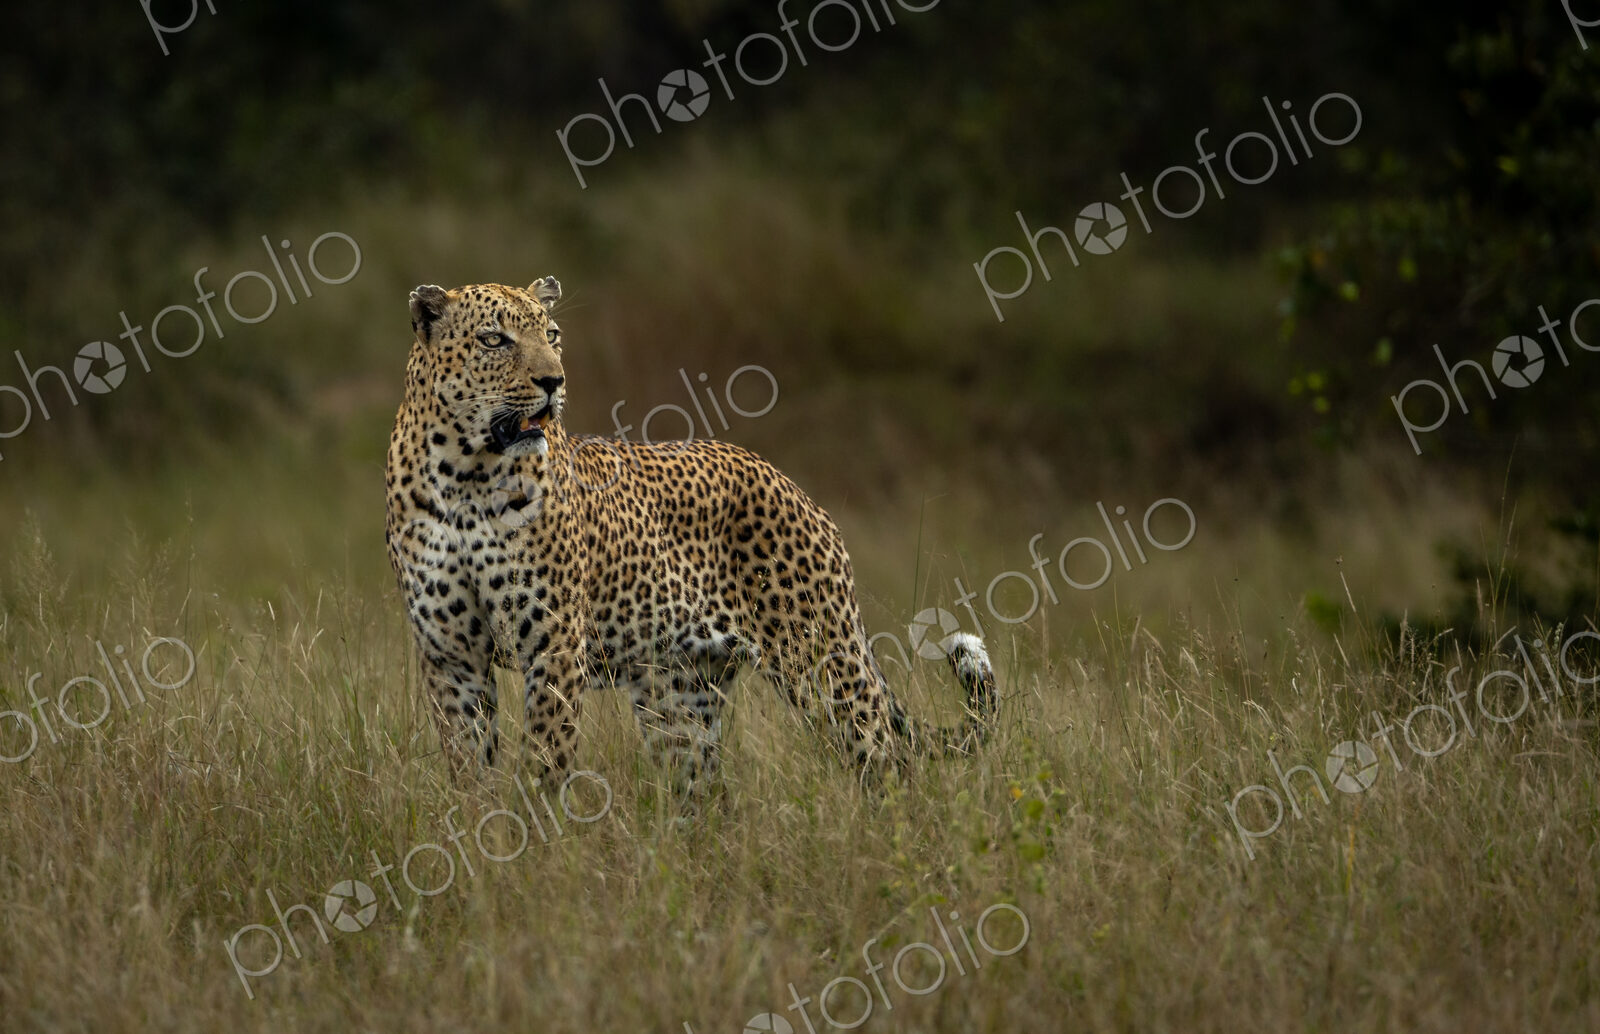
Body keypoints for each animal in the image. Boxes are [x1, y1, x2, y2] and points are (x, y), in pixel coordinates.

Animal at [384, 278, 997, 797]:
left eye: (552, 336)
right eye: (494, 340)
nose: (553, 381)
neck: (467, 476)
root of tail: (793, 485)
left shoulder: (554, 646)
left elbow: (543, 763)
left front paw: (529, 844)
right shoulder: (451, 656)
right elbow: (468, 766)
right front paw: (481, 839)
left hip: (822, 657)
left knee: (889, 758)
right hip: (679, 696)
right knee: (702, 792)